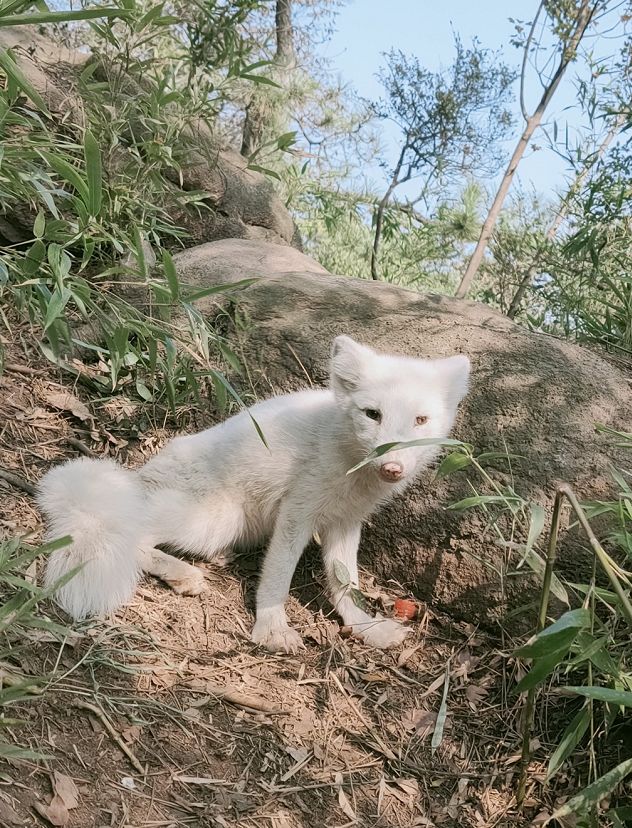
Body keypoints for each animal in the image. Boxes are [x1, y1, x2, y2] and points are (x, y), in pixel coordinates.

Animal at [35, 336, 470, 652]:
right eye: (372, 414)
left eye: (421, 420)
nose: (392, 468)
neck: (350, 466)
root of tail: (137, 477)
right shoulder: (297, 511)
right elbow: (277, 577)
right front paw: (272, 629)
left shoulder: (346, 521)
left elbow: (348, 584)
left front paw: (366, 628)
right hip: (213, 519)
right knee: (135, 536)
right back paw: (183, 573)